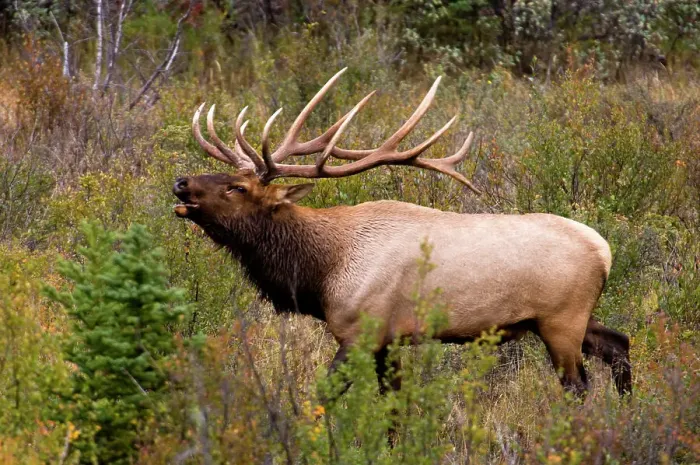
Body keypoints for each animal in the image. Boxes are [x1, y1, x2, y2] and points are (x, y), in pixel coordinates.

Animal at [173, 68, 632, 398]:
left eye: (238, 187)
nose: (181, 183)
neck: (322, 272)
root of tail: (605, 251)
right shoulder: (390, 342)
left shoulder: (362, 331)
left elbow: (322, 397)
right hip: (564, 318)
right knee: (619, 344)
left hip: (561, 319)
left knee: (578, 386)